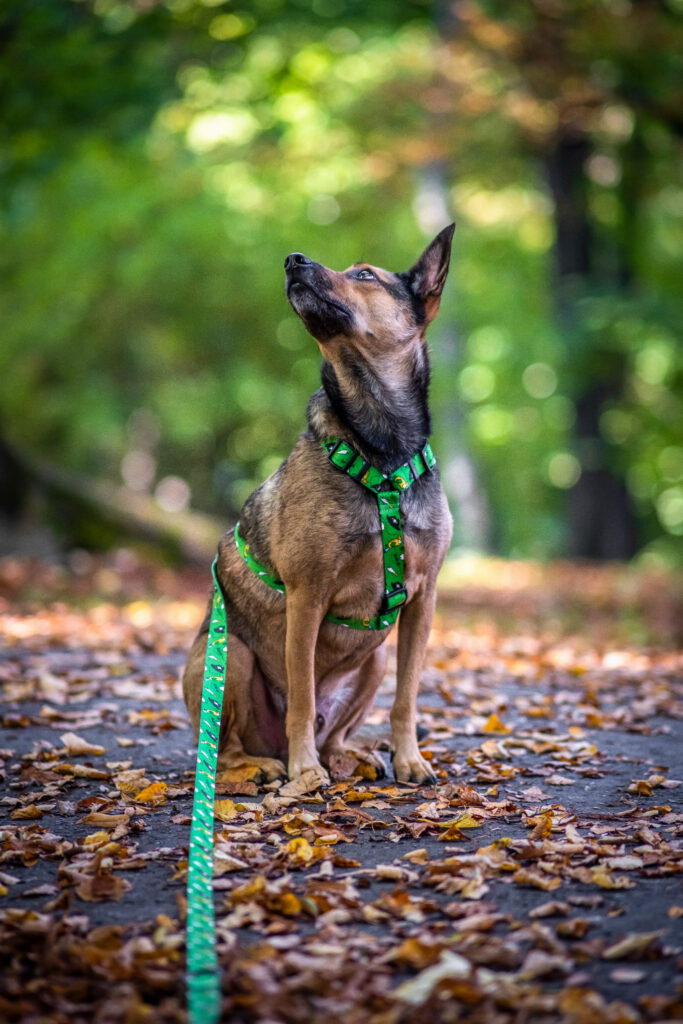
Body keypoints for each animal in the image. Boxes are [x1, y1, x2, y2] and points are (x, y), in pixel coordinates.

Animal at [184, 222, 456, 782]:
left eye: (365, 275)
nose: (293, 260)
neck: (382, 450)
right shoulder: (306, 596)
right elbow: (304, 697)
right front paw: (305, 770)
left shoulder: (423, 600)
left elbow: (407, 697)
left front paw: (409, 759)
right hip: (231, 657)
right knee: (225, 752)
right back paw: (263, 769)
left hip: (375, 660)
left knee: (335, 731)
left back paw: (348, 756)